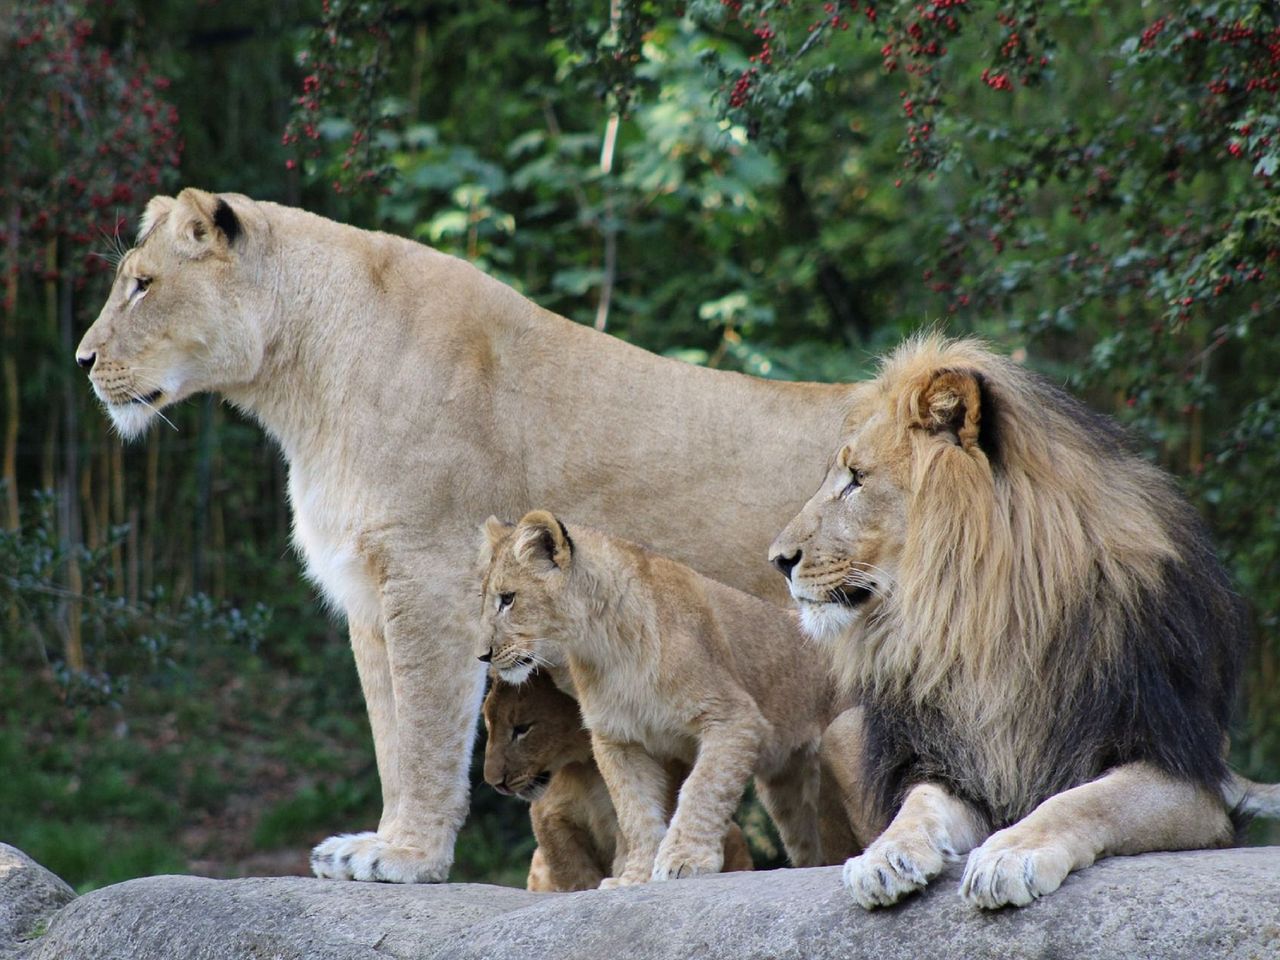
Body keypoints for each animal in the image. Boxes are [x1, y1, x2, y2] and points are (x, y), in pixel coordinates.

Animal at [483, 670, 752, 890]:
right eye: (487, 724)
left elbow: (627, 851)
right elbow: (573, 873)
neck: (584, 768)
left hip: (735, 832)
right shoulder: (549, 819)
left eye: (522, 728)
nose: (495, 782)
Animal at [768, 335, 1269, 911]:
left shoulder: (1187, 774)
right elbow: (918, 803)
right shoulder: (956, 763)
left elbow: (1082, 800)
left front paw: (1011, 854)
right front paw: (885, 855)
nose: (777, 560)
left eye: (856, 480)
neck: (987, 619)